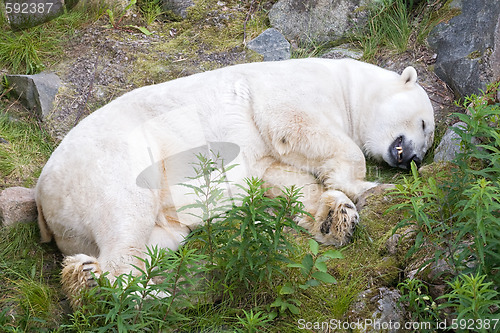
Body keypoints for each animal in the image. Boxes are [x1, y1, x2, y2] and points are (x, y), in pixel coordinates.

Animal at [34, 58, 434, 302]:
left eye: (427, 142)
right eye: (425, 126)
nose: (413, 159)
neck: (343, 85)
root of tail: (41, 194)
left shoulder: (266, 156)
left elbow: (280, 175)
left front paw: (335, 218)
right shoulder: (292, 89)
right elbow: (295, 124)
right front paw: (365, 187)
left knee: (156, 240)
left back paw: (87, 277)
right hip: (111, 163)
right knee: (125, 217)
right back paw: (140, 294)